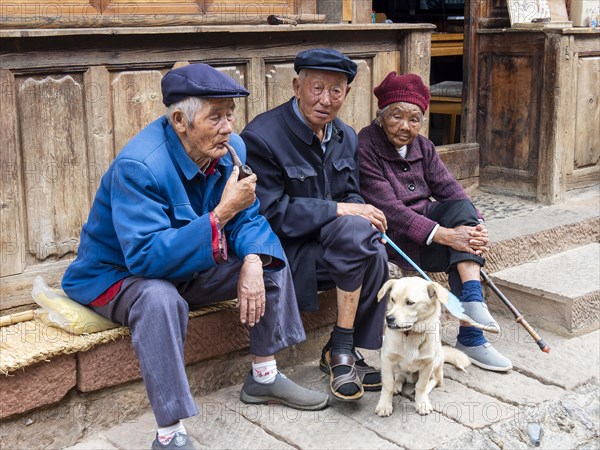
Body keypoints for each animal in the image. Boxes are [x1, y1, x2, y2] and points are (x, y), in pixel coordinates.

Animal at [376, 276, 468, 416]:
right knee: (400, 376)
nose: (389, 318)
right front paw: (384, 404)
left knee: (435, 380)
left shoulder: (428, 364)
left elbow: (421, 385)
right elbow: (388, 384)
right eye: (392, 299)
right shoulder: (387, 359)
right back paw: (397, 385)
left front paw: (422, 403)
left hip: (436, 363)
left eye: (410, 302)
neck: (411, 334)